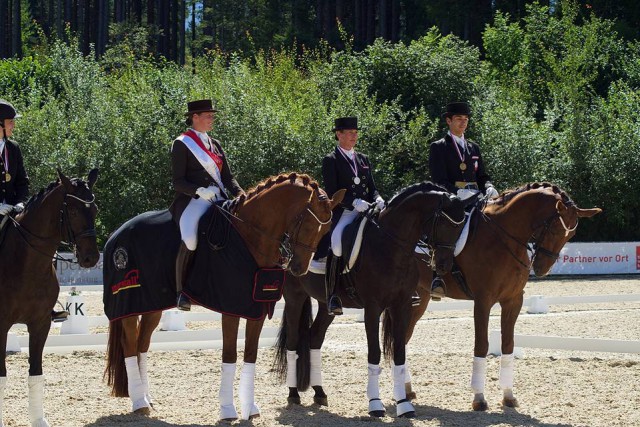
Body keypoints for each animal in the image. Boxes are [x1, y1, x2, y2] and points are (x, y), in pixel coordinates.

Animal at [0, 171, 100, 427]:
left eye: (94, 210)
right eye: (72, 211)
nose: (91, 258)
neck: (26, 264)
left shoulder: (41, 323)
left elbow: (36, 374)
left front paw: (39, 420)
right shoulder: (1, 326)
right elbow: (2, 375)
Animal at [104, 174, 344, 422]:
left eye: (326, 231)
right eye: (307, 224)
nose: (299, 269)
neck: (249, 236)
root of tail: (117, 234)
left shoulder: (256, 309)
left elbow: (250, 354)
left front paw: (250, 408)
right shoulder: (231, 308)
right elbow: (229, 355)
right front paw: (228, 409)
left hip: (152, 306)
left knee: (142, 345)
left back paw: (146, 398)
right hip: (128, 303)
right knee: (129, 345)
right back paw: (139, 402)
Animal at [272, 183, 472, 418]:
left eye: (460, 228)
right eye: (443, 223)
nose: (443, 265)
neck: (391, 246)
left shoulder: (401, 305)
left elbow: (399, 352)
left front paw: (404, 404)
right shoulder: (373, 308)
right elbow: (375, 352)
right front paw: (375, 404)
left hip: (325, 304)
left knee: (315, 338)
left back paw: (319, 392)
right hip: (295, 297)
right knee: (293, 342)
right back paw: (293, 394)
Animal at [402, 183, 604, 412]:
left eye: (571, 235)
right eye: (554, 229)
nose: (542, 269)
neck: (504, 237)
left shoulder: (513, 300)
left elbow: (508, 344)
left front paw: (508, 396)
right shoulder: (483, 300)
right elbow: (481, 345)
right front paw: (479, 398)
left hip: (420, 300)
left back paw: (407, 391)